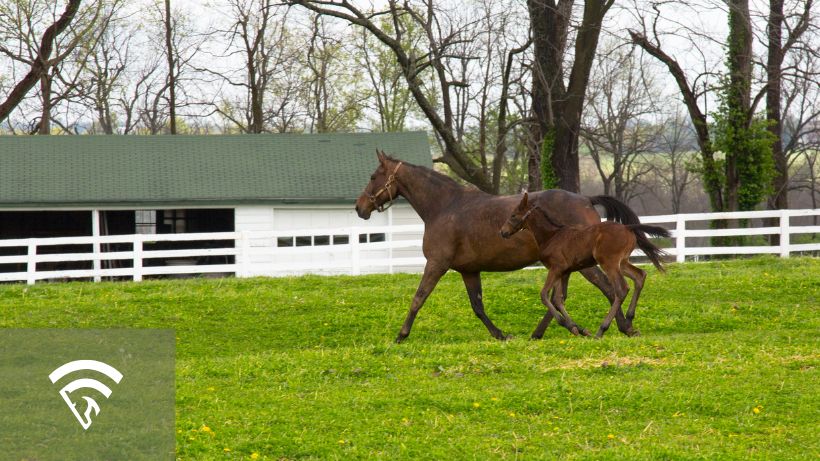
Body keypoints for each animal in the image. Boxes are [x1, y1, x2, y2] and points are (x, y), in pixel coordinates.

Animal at [502, 191, 668, 338]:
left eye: (513, 215)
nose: (502, 232)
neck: (551, 236)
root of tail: (628, 227)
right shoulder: (563, 271)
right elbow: (558, 299)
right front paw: (574, 328)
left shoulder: (555, 269)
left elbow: (544, 295)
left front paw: (567, 324)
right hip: (622, 262)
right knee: (640, 276)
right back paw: (629, 319)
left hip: (609, 263)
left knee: (621, 289)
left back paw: (602, 330)